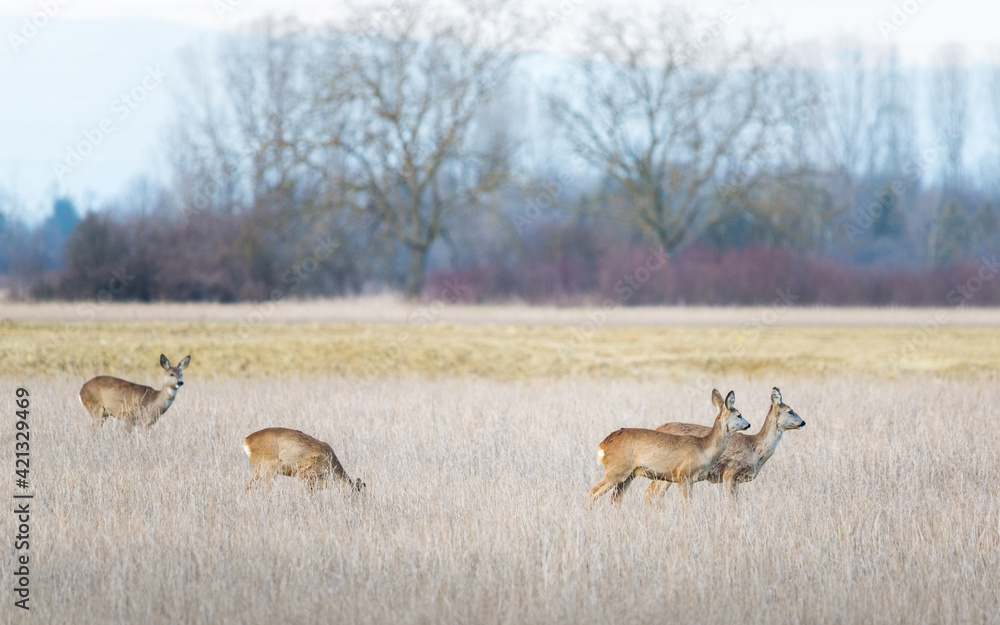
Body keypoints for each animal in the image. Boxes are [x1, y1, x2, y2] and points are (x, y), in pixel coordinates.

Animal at [587, 389, 749, 507]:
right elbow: (687, 506)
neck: (704, 447)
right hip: (616, 472)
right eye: (739, 415)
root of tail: (603, 445)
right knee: (592, 493)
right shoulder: (684, 476)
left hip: (628, 476)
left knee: (615, 499)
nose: (748, 424)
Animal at [645, 387, 805, 500]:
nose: (803, 422)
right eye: (790, 411)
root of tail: (658, 428)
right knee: (653, 492)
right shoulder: (730, 473)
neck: (755, 448)